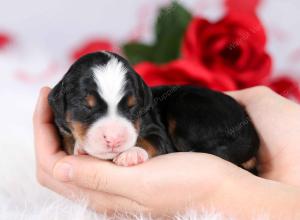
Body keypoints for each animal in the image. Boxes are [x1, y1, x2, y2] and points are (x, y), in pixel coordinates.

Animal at [48, 51, 258, 168]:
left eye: (132, 107)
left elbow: (150, 141)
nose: (114, 139)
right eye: (86, 106)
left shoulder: (157, 131)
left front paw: (132, 153)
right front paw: (80, 147)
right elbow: (68, 139)